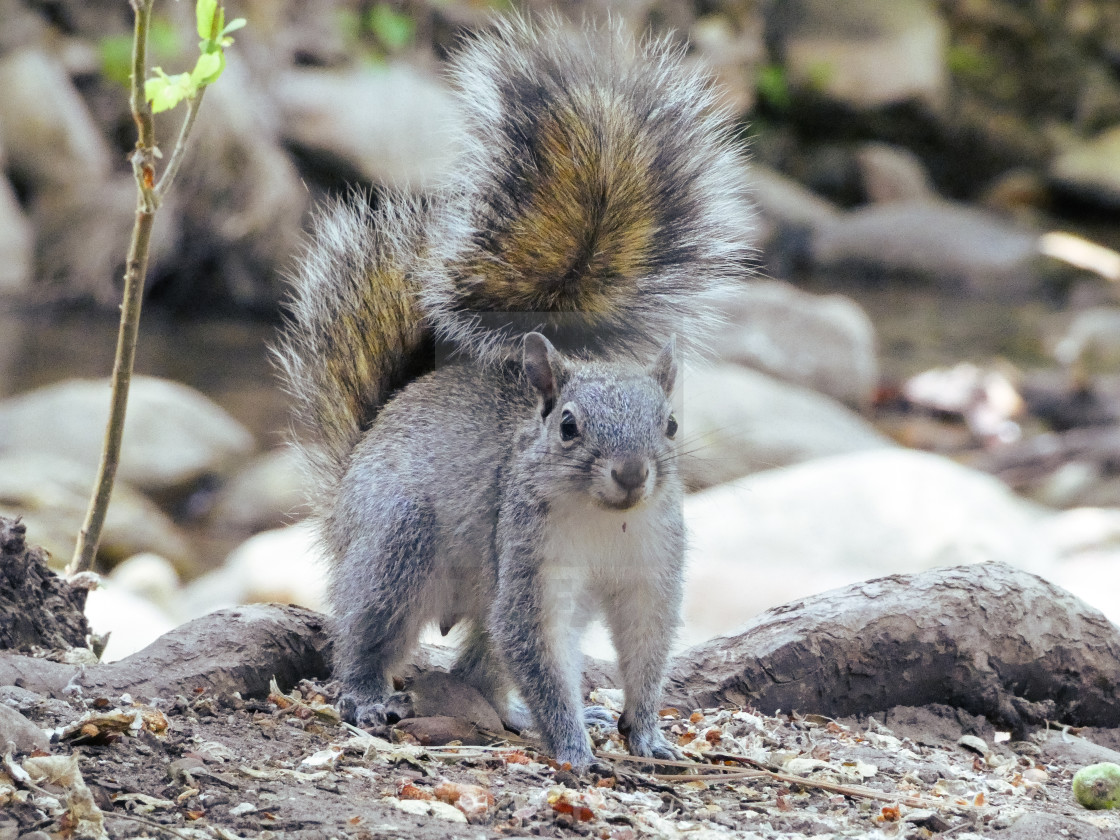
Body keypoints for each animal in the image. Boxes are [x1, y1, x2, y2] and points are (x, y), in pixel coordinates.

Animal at [275, 14, 757, 775]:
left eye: (671, 426)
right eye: (567, 426)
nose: (631, 474)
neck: (605, 523)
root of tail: (361, 451)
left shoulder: (651, 573)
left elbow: (646, 651)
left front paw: (646, 732)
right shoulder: (531, 571)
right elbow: (537, 650)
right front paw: (573, 746)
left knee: (480, 668)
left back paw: (511, 713)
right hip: (396, 543)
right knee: (367, 628)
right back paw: (366, 695)